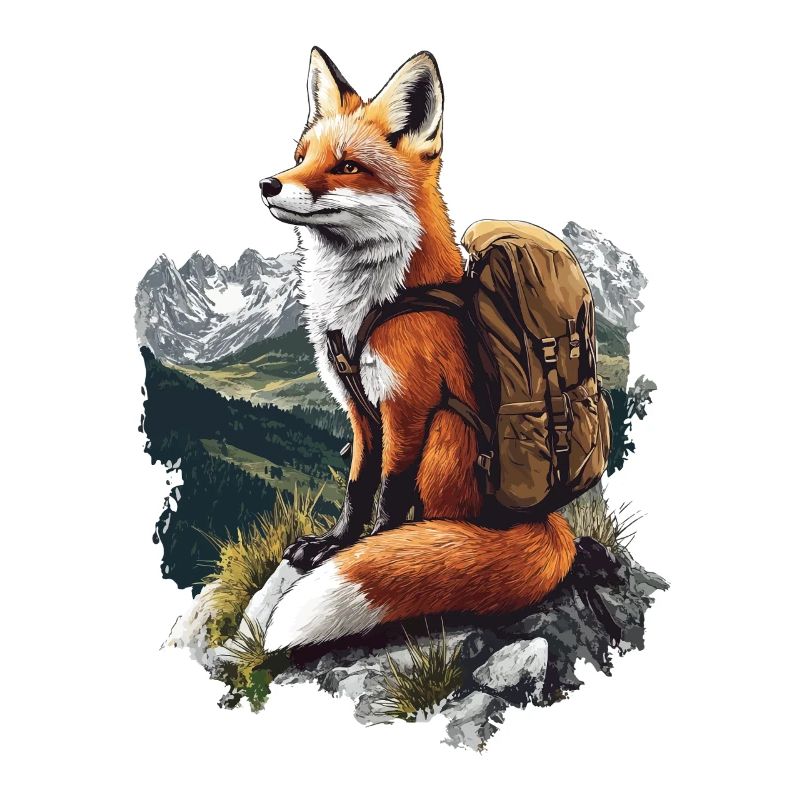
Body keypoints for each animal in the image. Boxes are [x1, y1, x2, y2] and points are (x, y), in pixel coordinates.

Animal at [254, 47, 610, 653]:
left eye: (346, 167)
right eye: (301, 157)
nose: (267, 184)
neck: (368, 307)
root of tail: (541, 519)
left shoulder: (409, 405)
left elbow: (390, 495)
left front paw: (371, 547)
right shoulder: (360, 410)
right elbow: (357, 486)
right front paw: (333, 544)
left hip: (449, 430)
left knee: (446, 522)